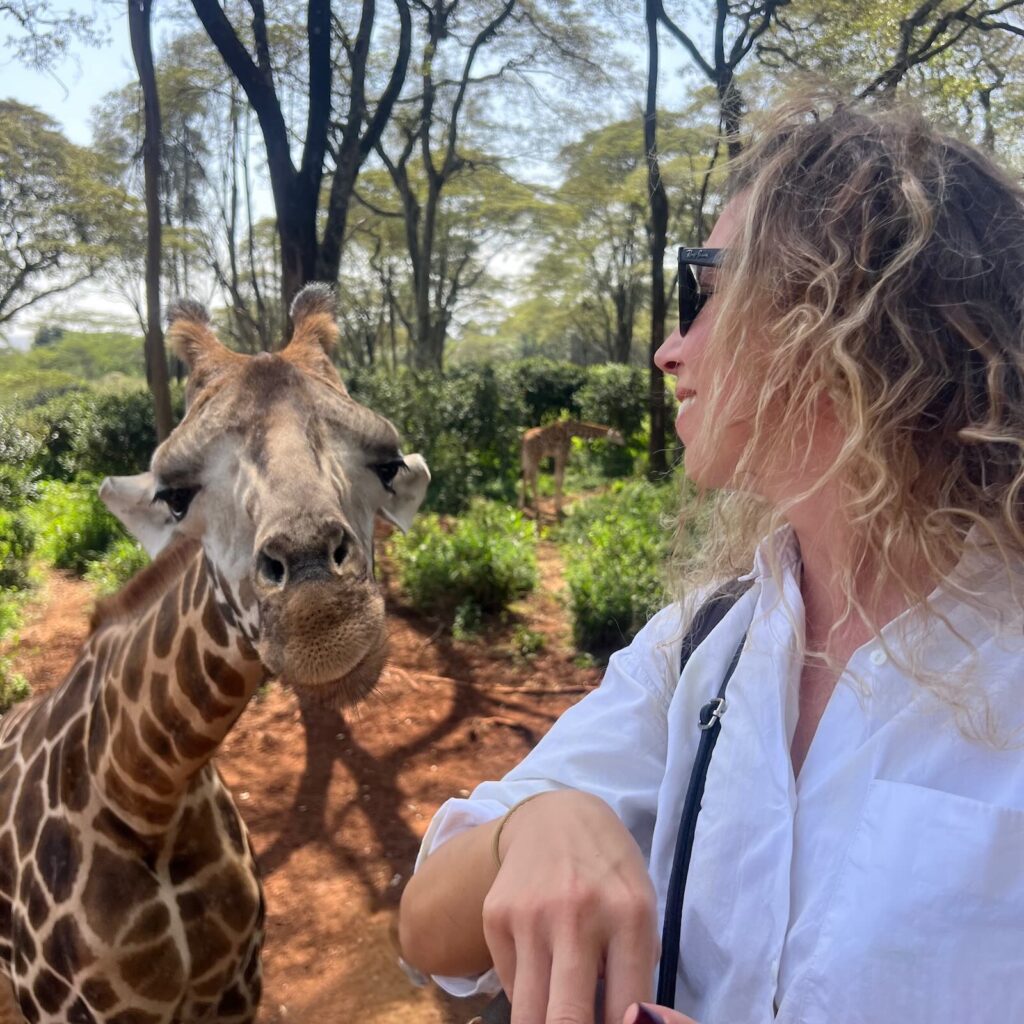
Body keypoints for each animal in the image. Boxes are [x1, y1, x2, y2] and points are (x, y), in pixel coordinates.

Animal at [0, 284, 430, 1024]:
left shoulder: (236, 985)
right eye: (176, 496)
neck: (150, 799)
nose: (323, 619)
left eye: (385, 466)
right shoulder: (69, 1010)